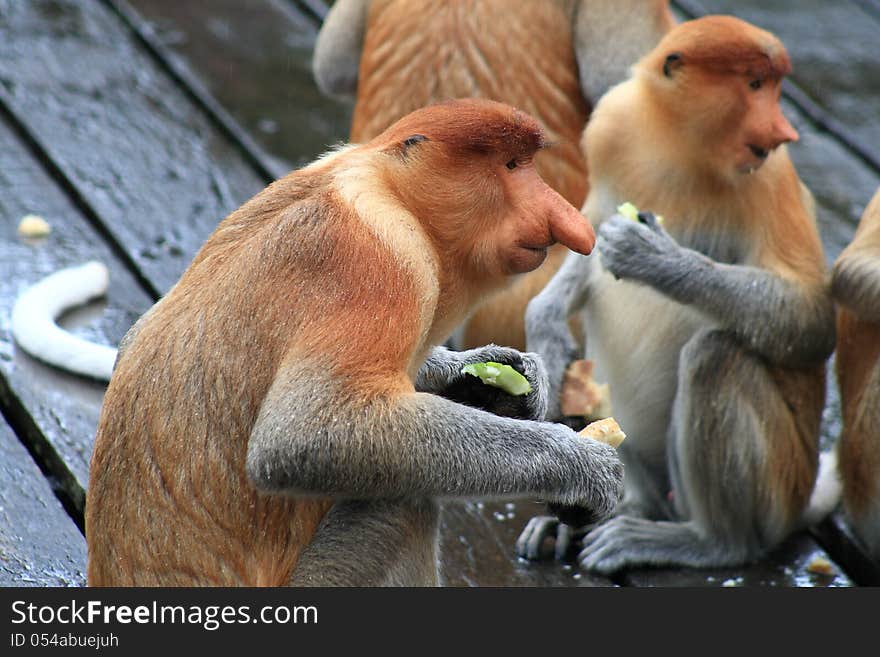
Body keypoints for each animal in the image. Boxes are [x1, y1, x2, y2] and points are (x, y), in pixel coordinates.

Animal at [81, 100, 620, 588]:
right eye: (510, 166)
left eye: (526, 163)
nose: (567, 220)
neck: (387, 185)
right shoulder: (381, 263)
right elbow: (300, 437)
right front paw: (581, 467)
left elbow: (134, 336)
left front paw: (504, 376)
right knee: (402, 505)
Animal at [516, 14, 840, 568]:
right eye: (755, 84)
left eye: (772, 86)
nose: (783, 131)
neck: (684, 148)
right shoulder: (614, 127)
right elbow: (588, 230)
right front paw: (546, 327)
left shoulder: (770, 177)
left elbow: (810, 320)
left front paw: (651, 254)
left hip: (779, 486)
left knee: (716, 355)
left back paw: (707, 541)